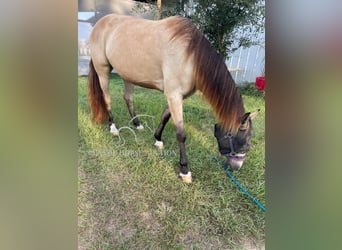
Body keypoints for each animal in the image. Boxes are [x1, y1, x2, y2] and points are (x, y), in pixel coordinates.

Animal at [87, 13, 258, 183]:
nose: (235, 167)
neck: (190, 56)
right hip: (103, 70)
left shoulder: (176, 95)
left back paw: (137, 124)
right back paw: (113, 128)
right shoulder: (174, 95)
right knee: (107, 98)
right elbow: (181, 134)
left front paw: (158, 140)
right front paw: (185, 171)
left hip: (127, 74)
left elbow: (164, 117)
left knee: (128, 98)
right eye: (241, 141)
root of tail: (101, 23)